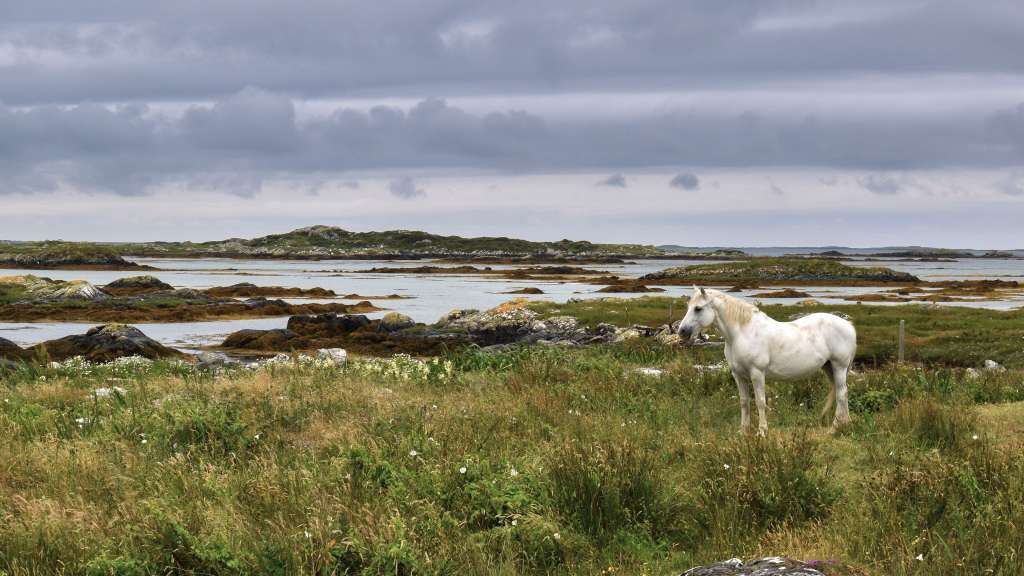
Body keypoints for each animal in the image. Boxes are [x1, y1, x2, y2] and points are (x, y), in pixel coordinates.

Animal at [676, 286, 856, 436]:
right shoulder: (738, 375)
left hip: (839, 366)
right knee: (841, 393)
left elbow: (760, 402)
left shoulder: (757, 373)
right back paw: (844, 424)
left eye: (698, 308)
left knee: (841, 394)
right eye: (688, 306)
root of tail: (848, 325)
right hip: (829, 367)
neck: (742, 333)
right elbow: (744, 402)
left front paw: (762, 432)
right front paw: (743, 431)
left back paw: (835, 428)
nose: (682, 331)